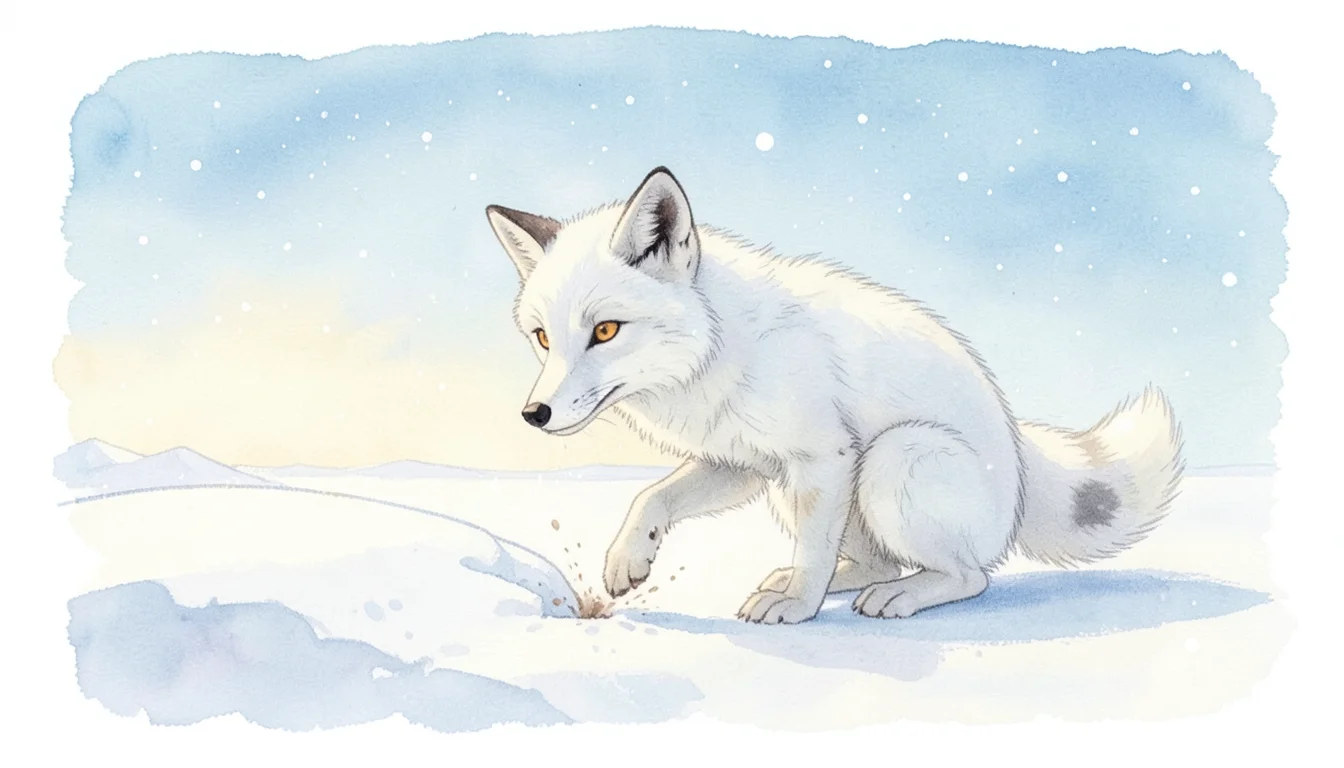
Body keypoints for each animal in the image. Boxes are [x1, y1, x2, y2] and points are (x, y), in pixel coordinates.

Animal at [486, 166, 1185, 625]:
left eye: (605, 331)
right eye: (543, 337)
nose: (533, 414)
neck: (721, 352)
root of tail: (1018, 469)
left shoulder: (823, 458)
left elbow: (814, 553)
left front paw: (797, 609)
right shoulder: (743, 464)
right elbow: (650, 497)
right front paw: (627, 562)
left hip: (889, 463)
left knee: (970, 576)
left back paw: (888, 597)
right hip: (797, 493)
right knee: (882, 564)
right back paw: (827, 580)